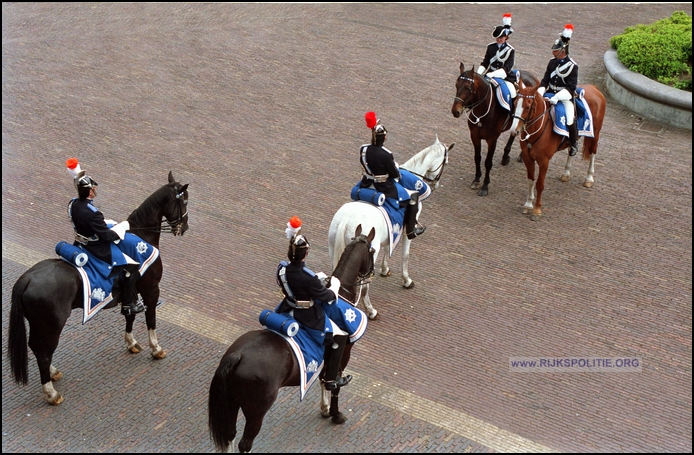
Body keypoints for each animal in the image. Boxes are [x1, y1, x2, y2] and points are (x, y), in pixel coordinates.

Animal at [8, 172, 193, 406]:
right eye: (184, 201)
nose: (184, 228)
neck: (142, 236)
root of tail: (27, 279)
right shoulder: (151, 290)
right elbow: (151, 319)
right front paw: (156, 348)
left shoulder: (130, 294)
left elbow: (130, 315)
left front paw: (131, 343)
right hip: (52, 325)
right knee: (43, 352)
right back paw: (52, 393)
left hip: (37, 323)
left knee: (36, 347)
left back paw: (53, 373)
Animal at [209, 226, 378, 454]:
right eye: (373, 251)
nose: (371, 274)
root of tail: (238, 355)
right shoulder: (344, 350)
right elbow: (335, 384)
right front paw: (336, 414)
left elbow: (324, 378)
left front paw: (325, 409)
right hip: (255, 411)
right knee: (245, 443)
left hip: (231, 403)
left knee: (229, 437)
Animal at [328, 135, 454, 320]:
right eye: (446, 162)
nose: (436, 184)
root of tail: (346, 220)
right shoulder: (406, 232)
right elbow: (405, 255)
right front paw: (407, 280)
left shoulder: (392, 231)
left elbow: (389, 248)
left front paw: (385, 269)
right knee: (364, 287)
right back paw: (371, 311)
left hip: (334, 249)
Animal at [452, 62, 544, 196]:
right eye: (456, 85)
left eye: (468, 88)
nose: (455, 111)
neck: (484, 110)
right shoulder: (474, 136)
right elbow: (477, 158)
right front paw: (476, 179)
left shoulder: (492, 140)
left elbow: (488, 162)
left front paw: (485, 186)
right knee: (514, 133)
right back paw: (506, 156)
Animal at [512, 81, 608, 221]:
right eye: (515, 103)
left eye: (528, 106)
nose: (514, 130)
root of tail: (594, 88)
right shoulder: (527, 157)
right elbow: (531, 180)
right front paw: (528, 204)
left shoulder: (544, 161)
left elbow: (540, 184)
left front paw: (536, 210)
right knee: (571, 150)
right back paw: (566, 173)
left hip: (595, 134)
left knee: (592, 152)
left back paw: (589, 178)